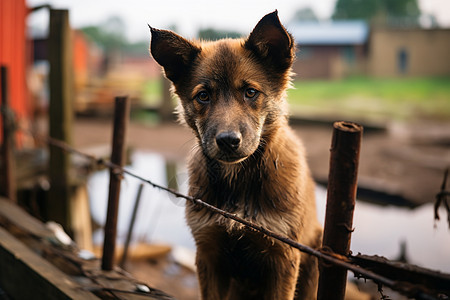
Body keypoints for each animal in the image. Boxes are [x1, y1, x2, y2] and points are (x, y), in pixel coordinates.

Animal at [149, 10, 322, 298]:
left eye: (250, 92)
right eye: (203, 96)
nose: (228, 141)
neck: (238, 180)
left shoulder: (283, 256)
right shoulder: (208, 253)